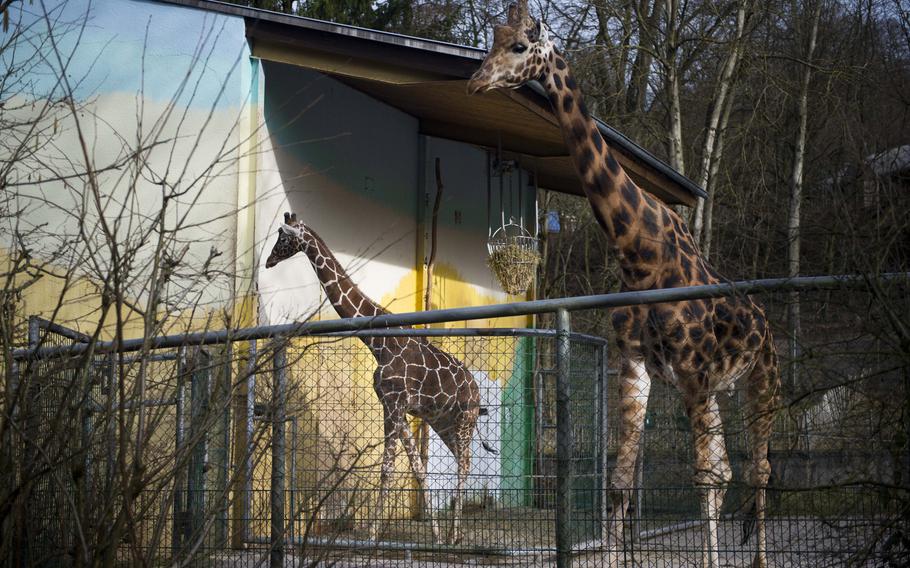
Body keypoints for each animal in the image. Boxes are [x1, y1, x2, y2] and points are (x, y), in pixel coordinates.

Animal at [266, 211, 484, 544]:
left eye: (283, 237)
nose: (268, 261)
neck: (378, 343)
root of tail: (476, 390)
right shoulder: (392, 406)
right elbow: (417, 468)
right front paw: (433, 535)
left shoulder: (394, 404)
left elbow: (387, 468)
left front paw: (371, 533)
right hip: (444, 423)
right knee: (463, 463)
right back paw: (450, 535)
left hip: (463, 422)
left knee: (465, 466)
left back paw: (454, 536)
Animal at [474, 2, 780, 564]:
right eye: (493, 39)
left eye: (521, 46)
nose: (476, 80)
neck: (639, 252)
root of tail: (766, 323)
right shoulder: (636, 366)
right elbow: (620, 483)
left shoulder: (692, 371)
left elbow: (702, 477)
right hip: (718, 388)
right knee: (731, 469)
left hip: (761, 378)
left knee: (759, 469)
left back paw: (761, 558)